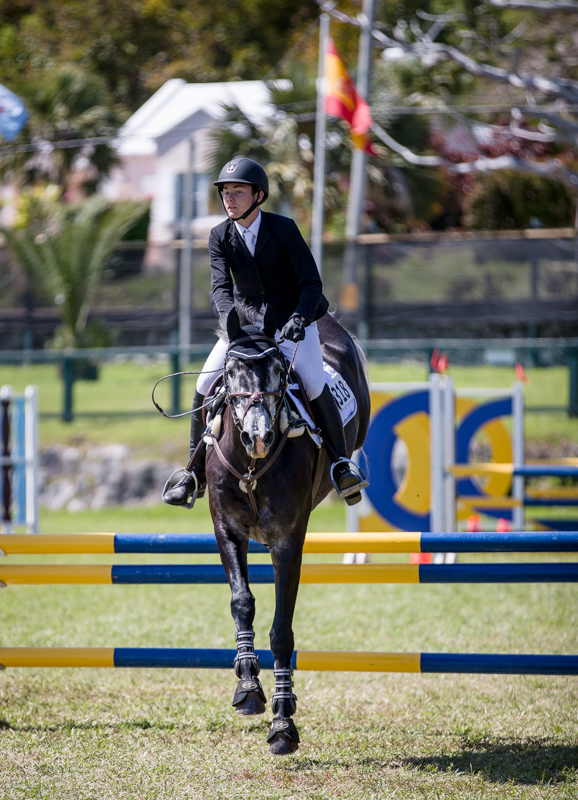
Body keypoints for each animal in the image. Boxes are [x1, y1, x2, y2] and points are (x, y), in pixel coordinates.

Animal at [202, 304, 366, 752]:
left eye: (279, 371)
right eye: (230, 372)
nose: (258, 437)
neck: (252, 466)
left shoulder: (288, 543)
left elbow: (281, 632)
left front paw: (283, 721)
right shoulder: (228, 530)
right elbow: (242, 603)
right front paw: (247, 687)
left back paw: (349, 474)